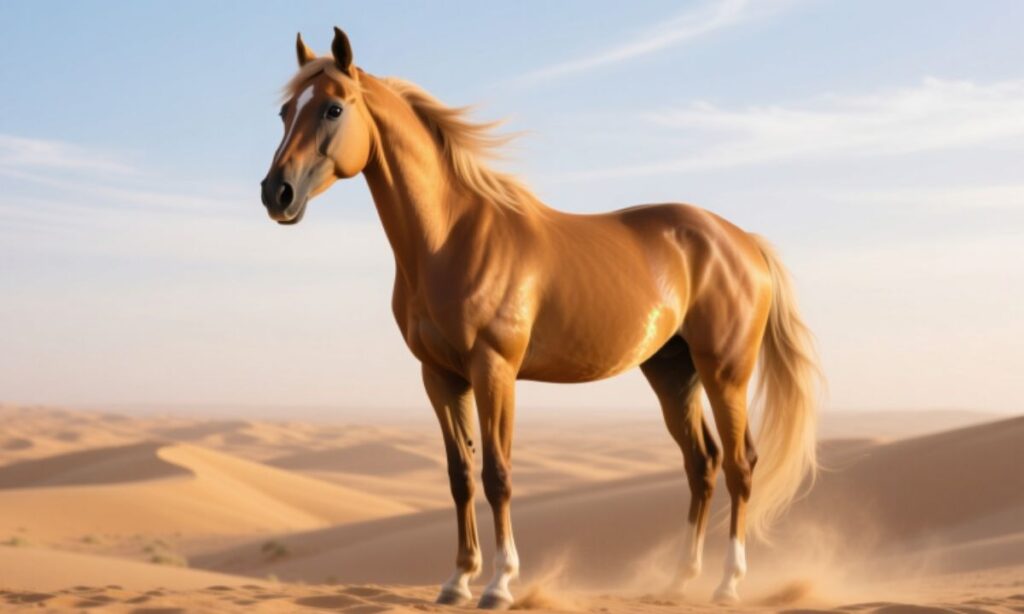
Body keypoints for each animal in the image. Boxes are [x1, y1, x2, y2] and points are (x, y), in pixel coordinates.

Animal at [260, 27, 821, 609]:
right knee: (702, 462)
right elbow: (460, 475)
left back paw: (728, 583)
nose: (276, 193)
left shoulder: (494, 370)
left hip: (724, 372)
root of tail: (743, 242)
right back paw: (679, 578)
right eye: (285, 111)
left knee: (739, 464)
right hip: (672, 371)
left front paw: (499, 584)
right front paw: (457, 580)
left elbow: (497, 474)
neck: (451, 238)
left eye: (333, 108)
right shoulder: (439, 376)